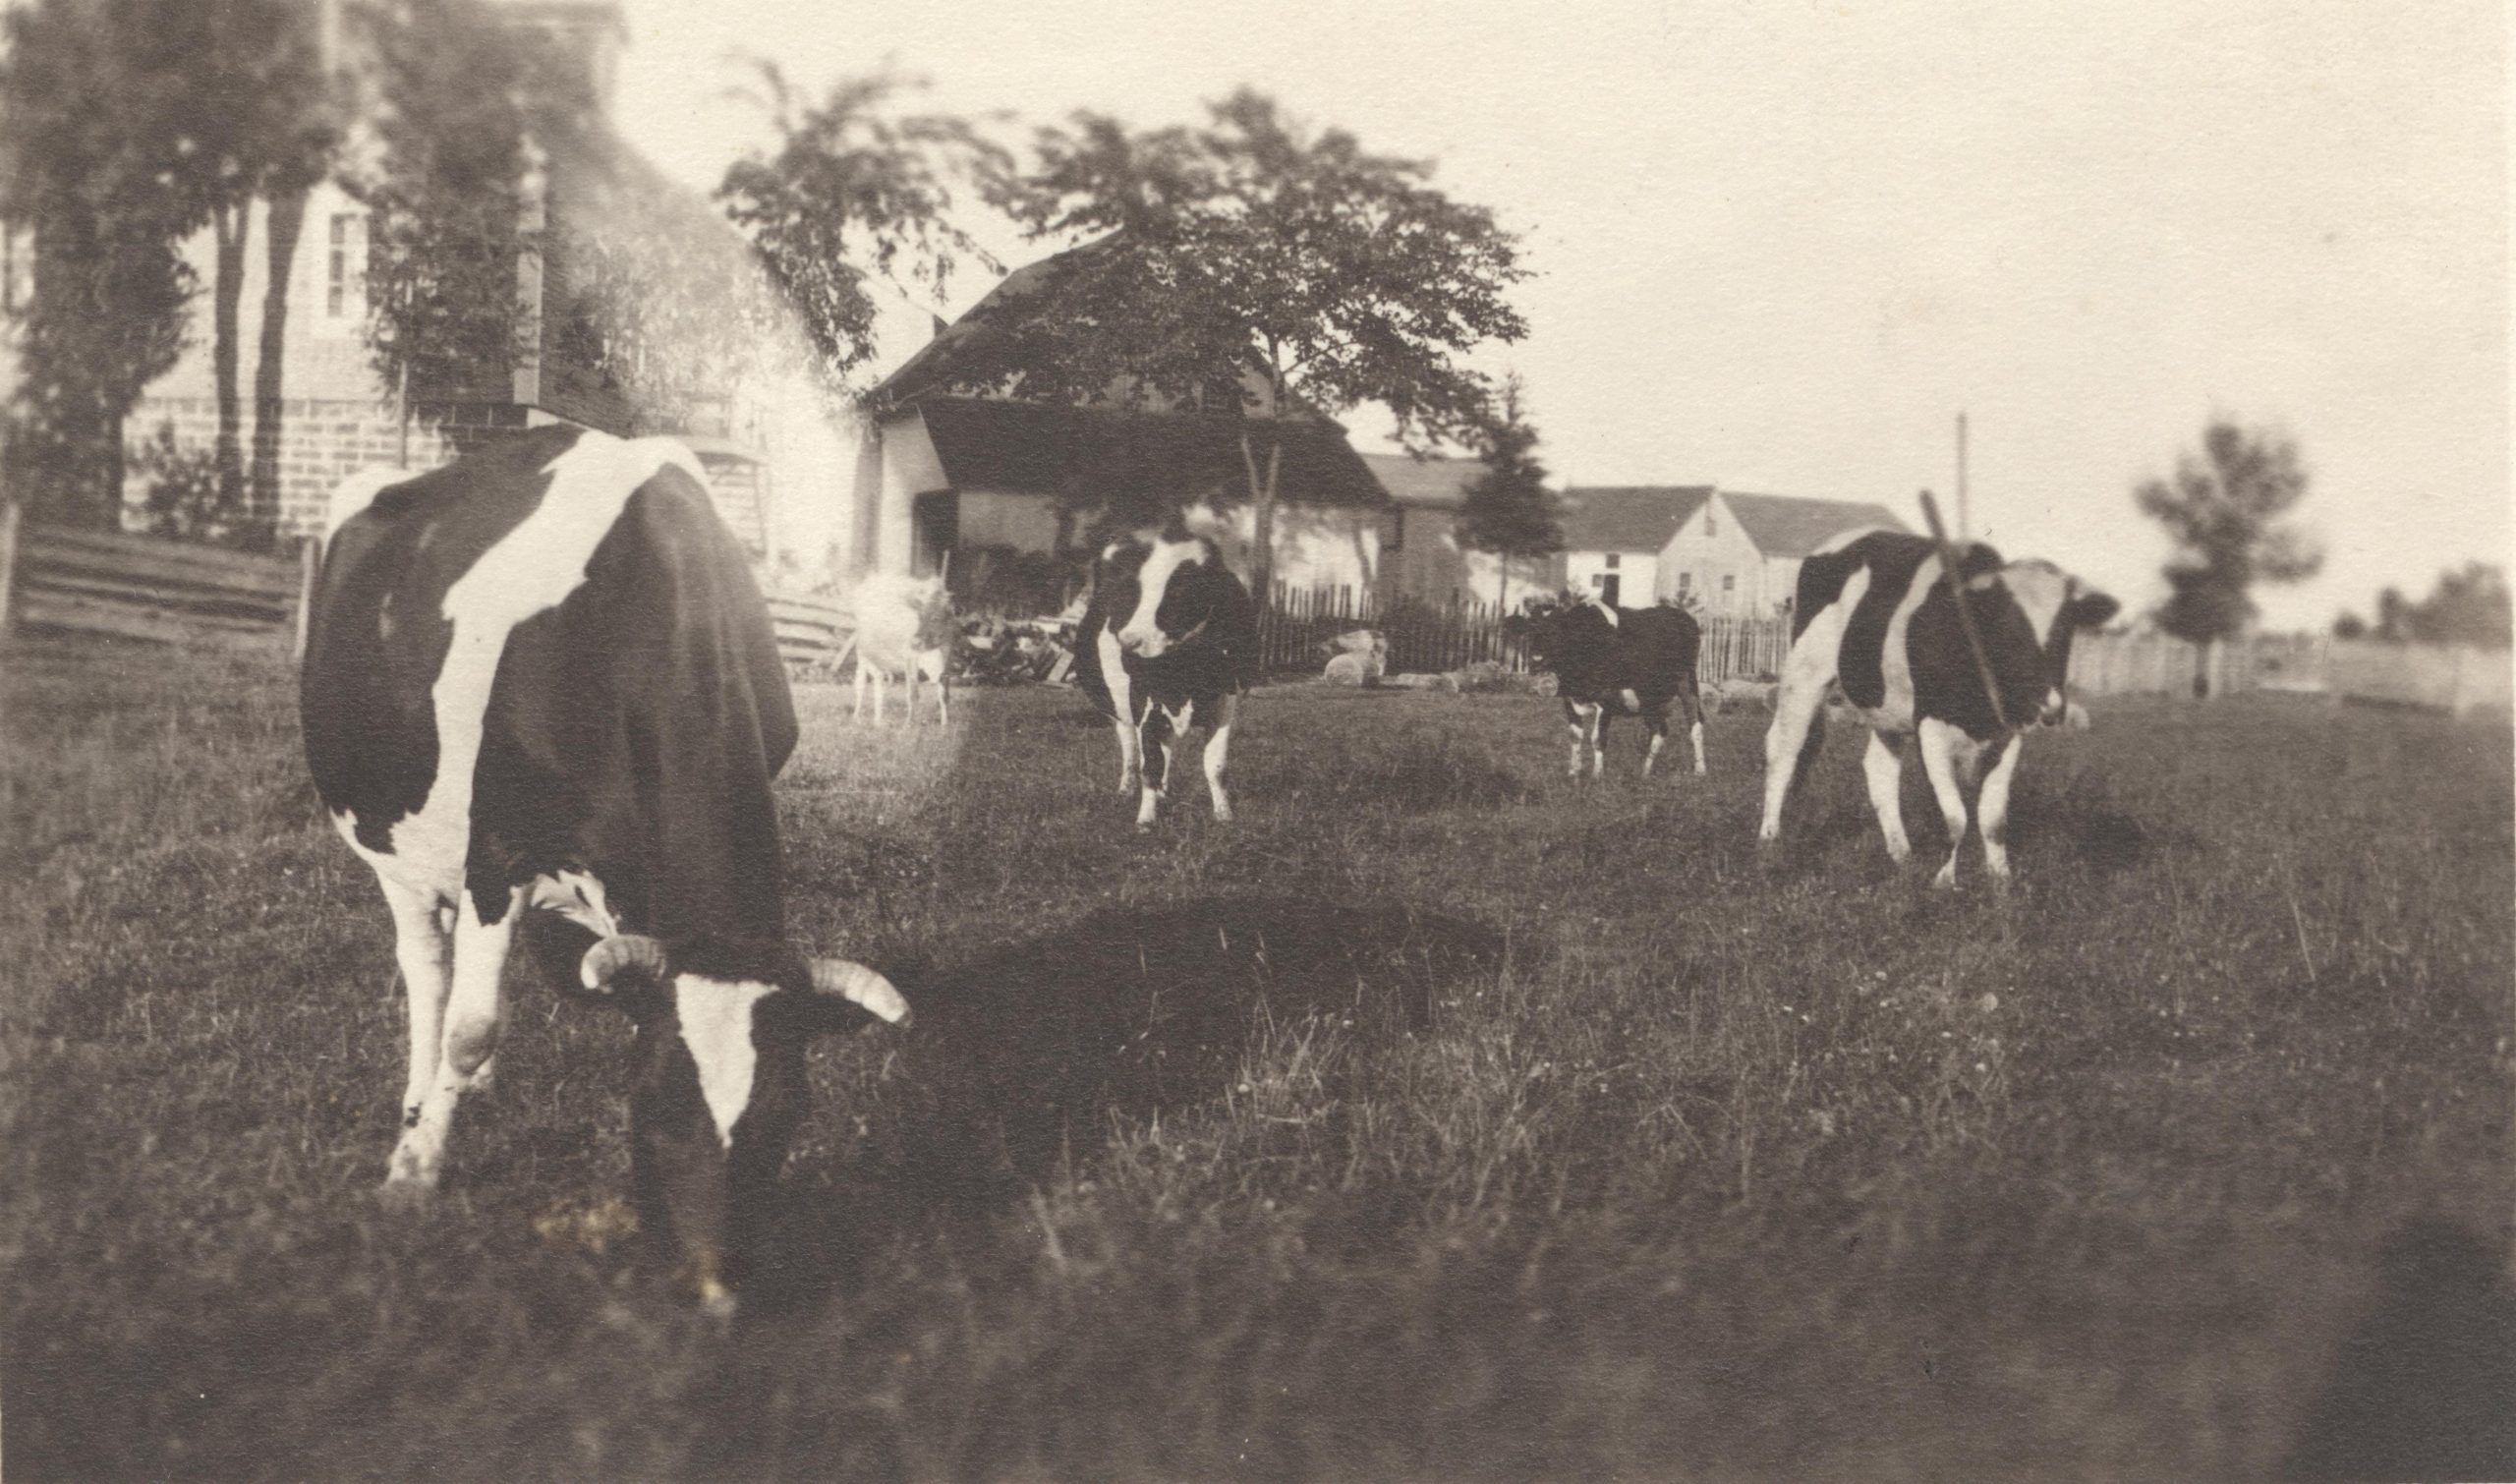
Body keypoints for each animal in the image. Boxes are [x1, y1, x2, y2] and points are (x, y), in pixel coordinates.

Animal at [302, 428, 915, 1318]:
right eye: (653, 1105)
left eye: (787, 1114)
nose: (713, 1288)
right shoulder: (497, 854)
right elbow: (471, 1026)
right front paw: (414, 1172)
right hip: (387, 839)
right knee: (427, 969)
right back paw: (420, 1105)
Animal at [1071, 536, 1258, 834]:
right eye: (1137, 589)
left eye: (1181, 590)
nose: (1128, 641)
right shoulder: (1143, 702)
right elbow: (1150, 764)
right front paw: (1146, 820)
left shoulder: (1224, 703)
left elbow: (1216, 766)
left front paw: (1223, 814)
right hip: (1119, 711)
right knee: (1132, 751)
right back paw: (1127, 790)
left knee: (1165, 748)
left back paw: (1163, 792)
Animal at [1510, 596, 1710, 784]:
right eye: (1530, 629)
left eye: (1556, 630)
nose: (1537, 661)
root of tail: (1681, 615)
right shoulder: (1569, 698)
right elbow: (1575, 736)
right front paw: (1573, 774)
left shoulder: (1605, 700)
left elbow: (1598, 738)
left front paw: (1597, 776)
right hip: (1649, 698)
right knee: (1660, 730)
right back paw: (1644, 774)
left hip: (1688, 683)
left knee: (1695, 725)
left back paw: (1700, 771)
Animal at [1761, 528, 2113, 890]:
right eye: (2008, 625)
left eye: (2065, 631)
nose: (2051, 707)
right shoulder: (1929, 725)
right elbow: (1955, 818)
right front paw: (1945, 880)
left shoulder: (2008, 733)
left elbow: (1994, 819)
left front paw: (2001, 881)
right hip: (1805, 671)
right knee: (1783, 751)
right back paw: (1770, 837)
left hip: (1887, 706)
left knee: (1879, 769)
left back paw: (1901, 855)